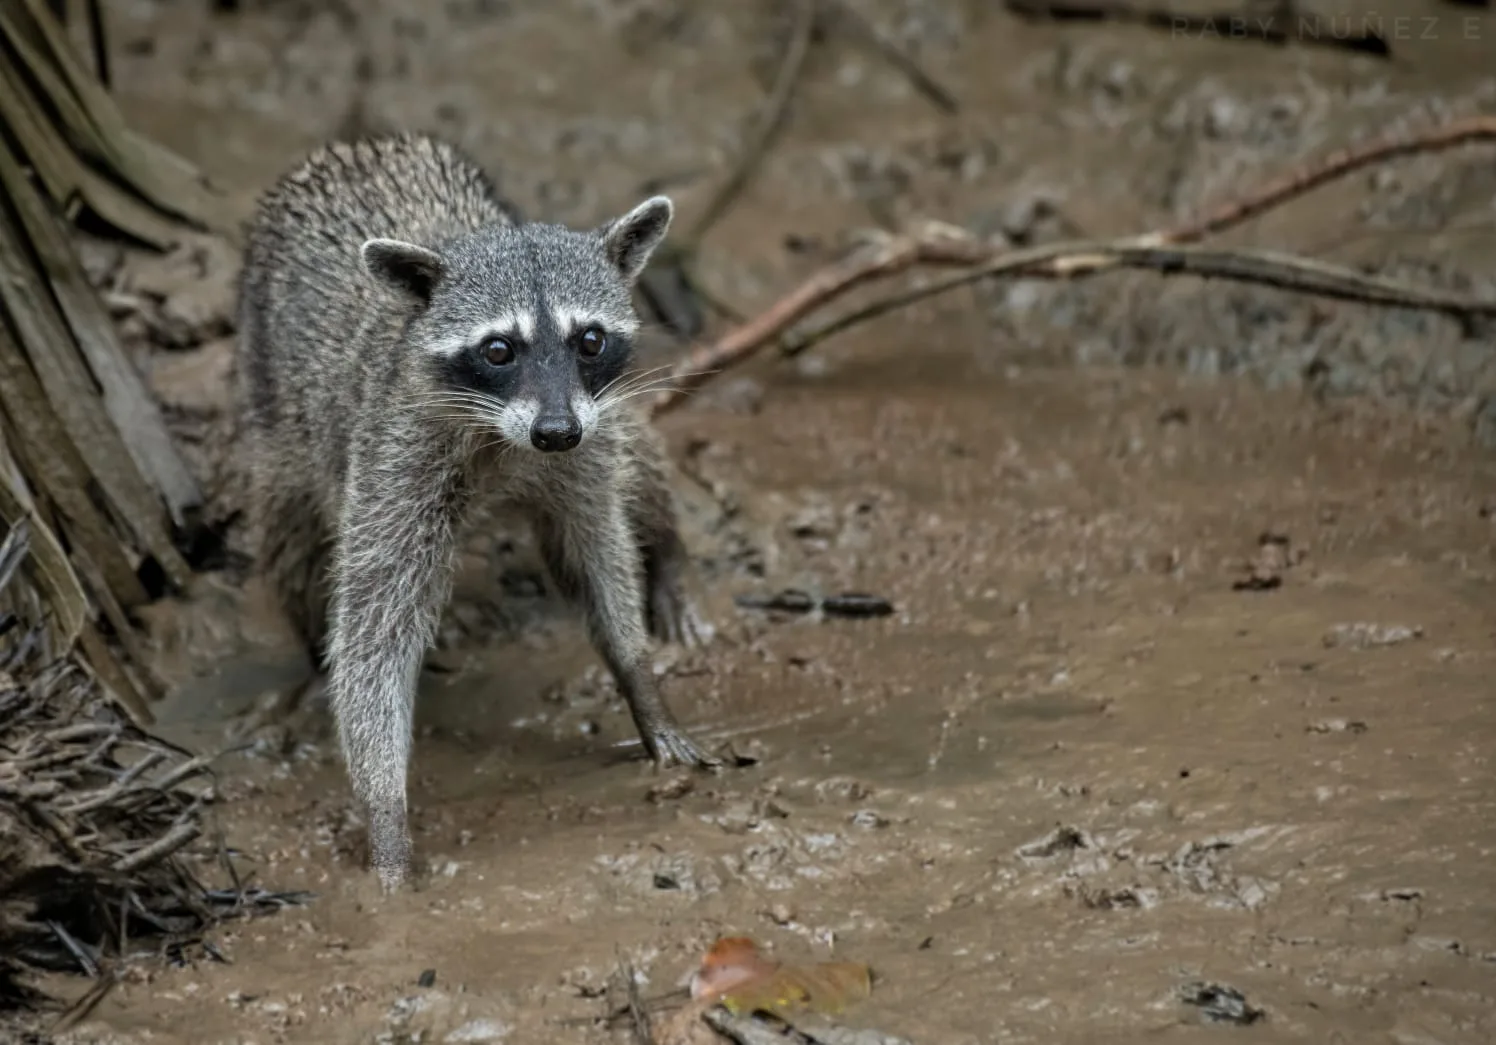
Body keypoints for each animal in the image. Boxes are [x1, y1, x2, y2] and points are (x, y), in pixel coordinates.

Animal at [234, 132, 718, 891]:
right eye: (499, 349)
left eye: (588, 339)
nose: (555, 431)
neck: (505, 437)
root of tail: (360, 145)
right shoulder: (398, 449)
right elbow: (375, 623)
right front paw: (385, 812)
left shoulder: (583, 437)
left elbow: (594, 550)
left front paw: (639, 676)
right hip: (276, 406)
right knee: (289, 532)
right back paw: (311, 654)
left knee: (637, 455)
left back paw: (667, 550)